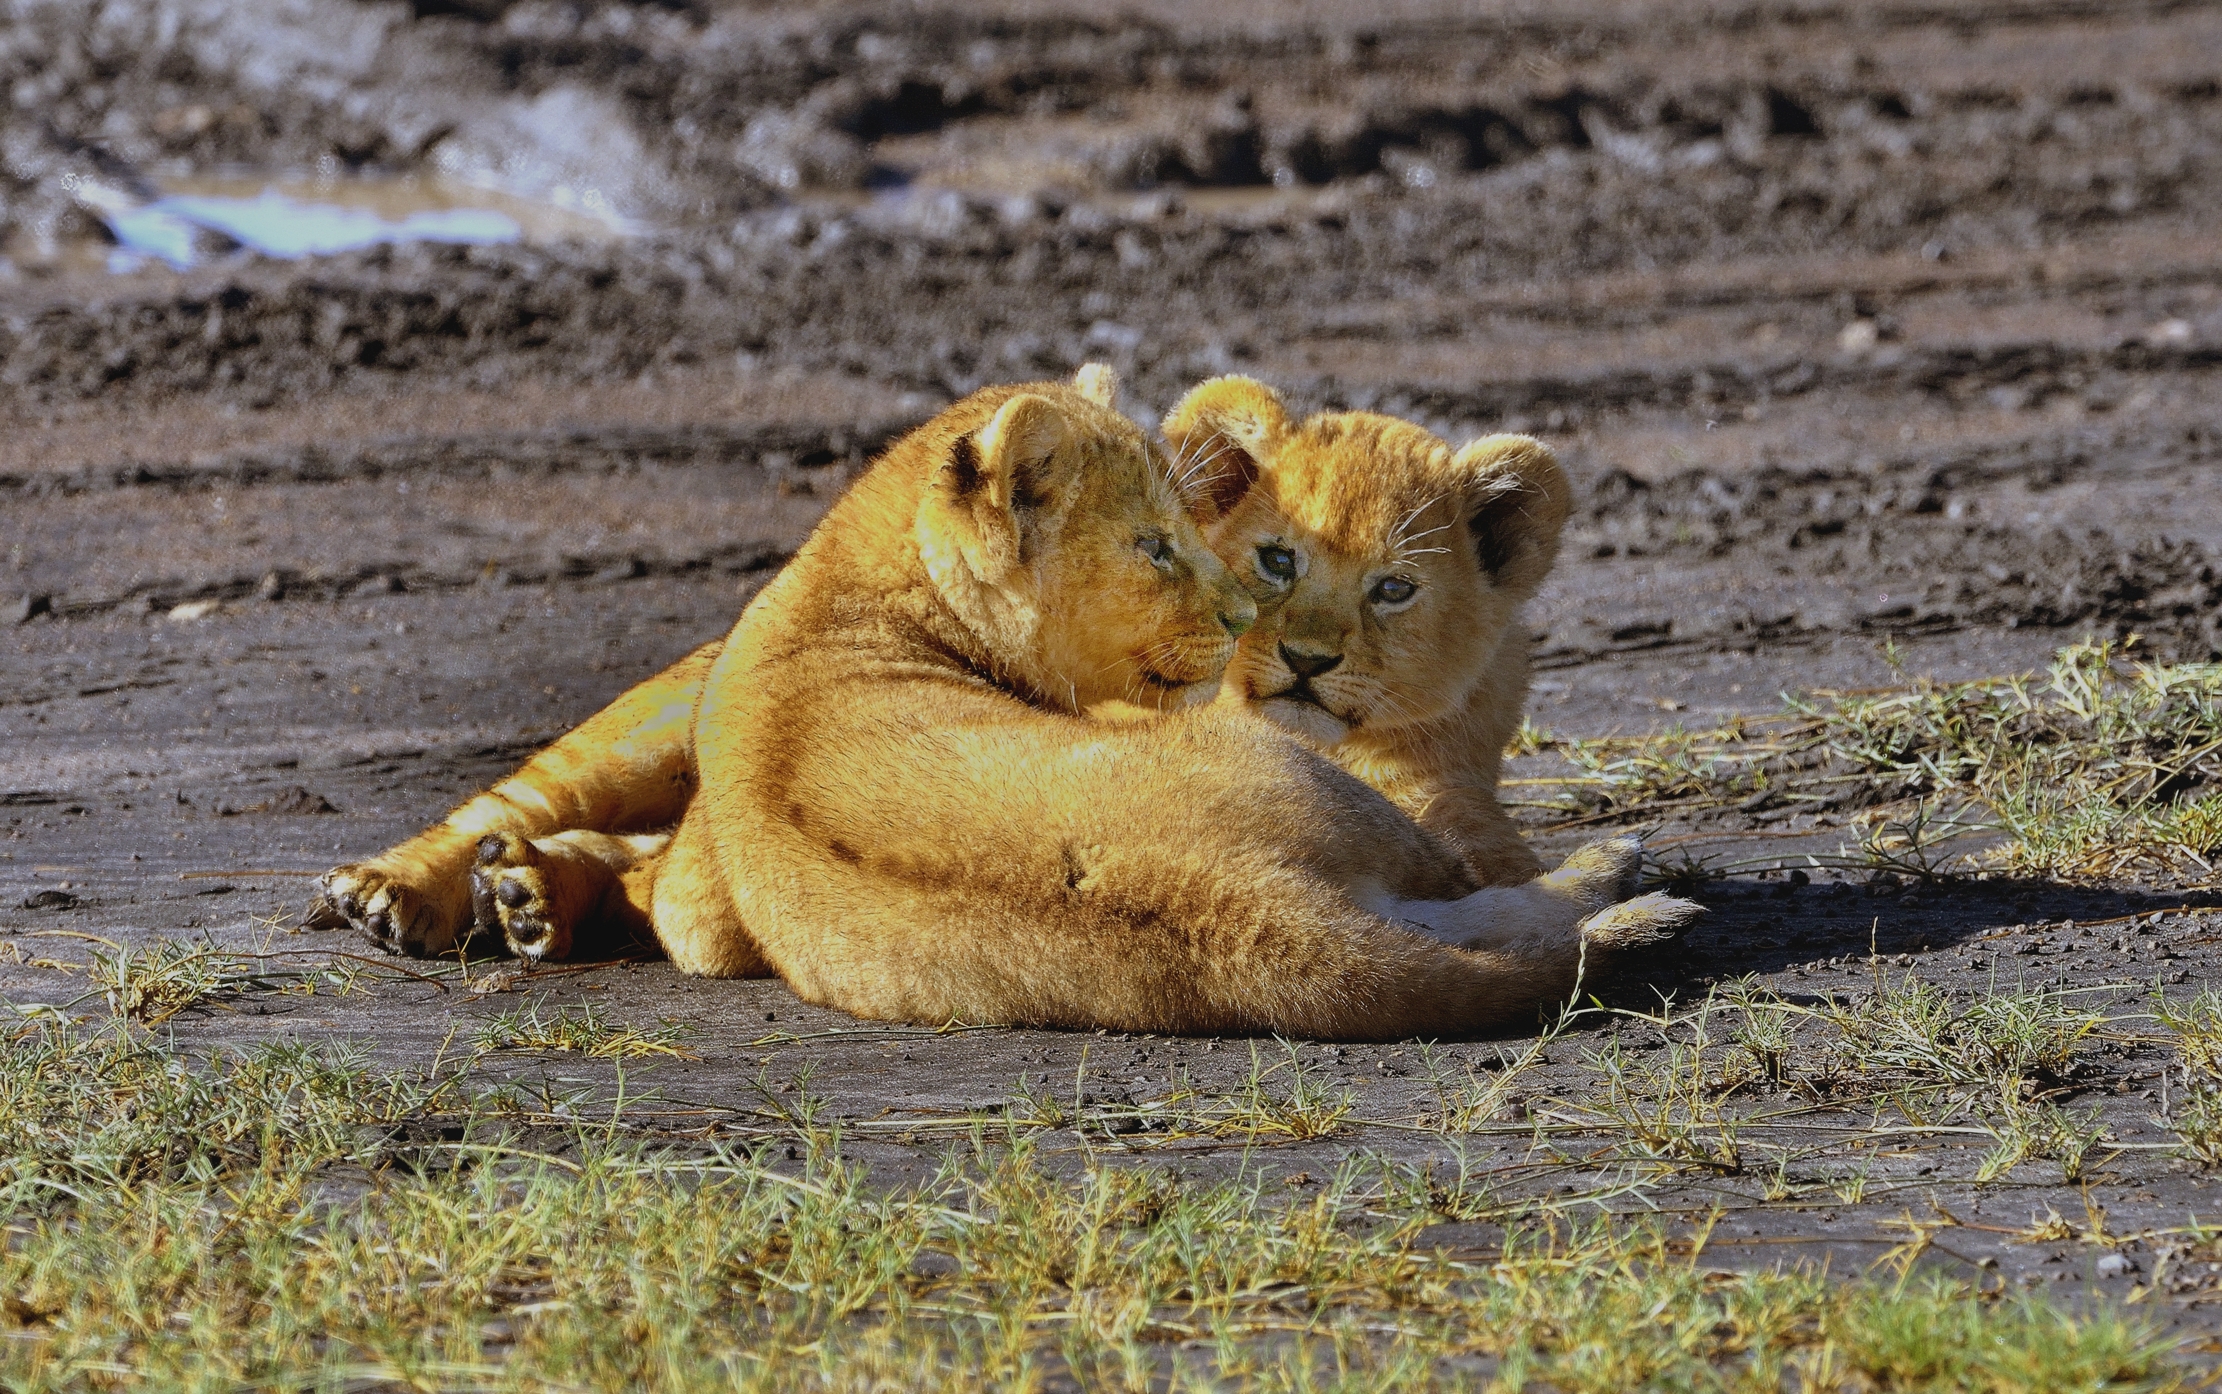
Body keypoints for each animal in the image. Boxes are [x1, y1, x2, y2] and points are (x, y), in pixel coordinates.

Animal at [317, 367, 1696, 1037]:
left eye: (1395, 588)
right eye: (1166, 546)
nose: (1260, 637)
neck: (844, 591)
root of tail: (1233, 907)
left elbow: (681, 894)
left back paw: (518, 894)